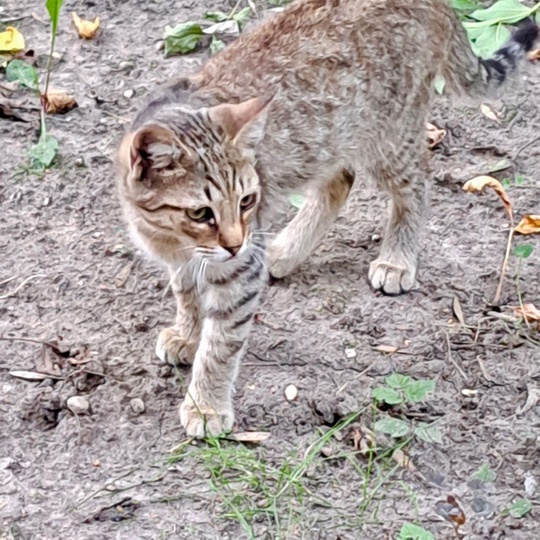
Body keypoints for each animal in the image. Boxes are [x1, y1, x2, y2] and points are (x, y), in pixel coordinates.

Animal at [117, 0, 536, 436]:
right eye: (201, 212)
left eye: (247, 201)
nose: (235, 244)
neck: (173, 238)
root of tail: (437, 4)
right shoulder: (183, 260)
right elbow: (187, 296)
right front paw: (187, 334)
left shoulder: (238, 271)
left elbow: (222, 342)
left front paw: (206, 405)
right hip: (332, 139)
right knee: (340, 179)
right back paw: (286, 250)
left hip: (388, 137)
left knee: (417, 183)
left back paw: (396, 259)